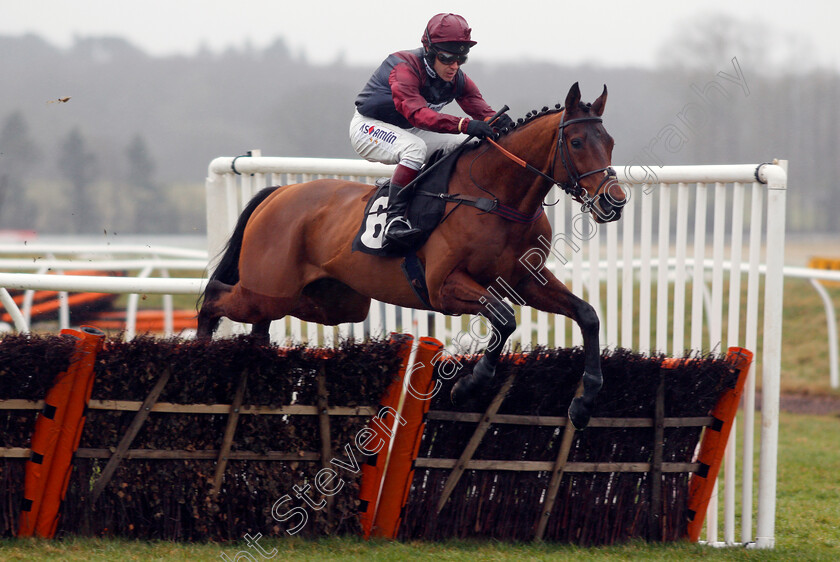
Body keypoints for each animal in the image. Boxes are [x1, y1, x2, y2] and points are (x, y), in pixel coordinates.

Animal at [199, 81, 624, 426]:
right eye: (577, 142)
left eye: (610, 142)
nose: (614, 202)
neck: (496, 196)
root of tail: (279, 193)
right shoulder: (444, 288)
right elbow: (504, 320)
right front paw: (468, 386)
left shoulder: (524, 280)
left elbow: (587, 315)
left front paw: (584, 401)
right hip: (269, 291)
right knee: (215, 298)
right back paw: (200, 356)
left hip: (329, 302)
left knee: (261, 327)